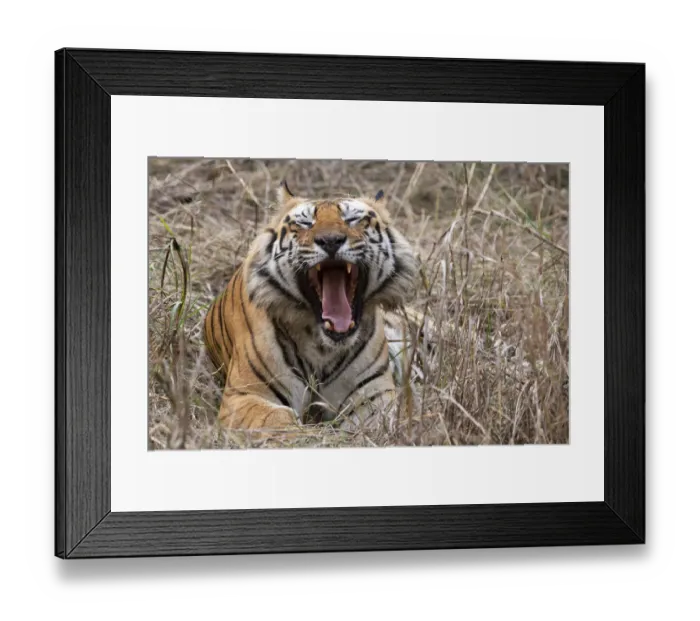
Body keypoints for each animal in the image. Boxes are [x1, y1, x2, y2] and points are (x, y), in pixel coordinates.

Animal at [204, 180, 419, 431]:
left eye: (353, 219)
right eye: (306, 223)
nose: (331, 240)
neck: (323, 348)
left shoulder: (375, 396)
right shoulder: (243, 396)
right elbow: (277, 418)